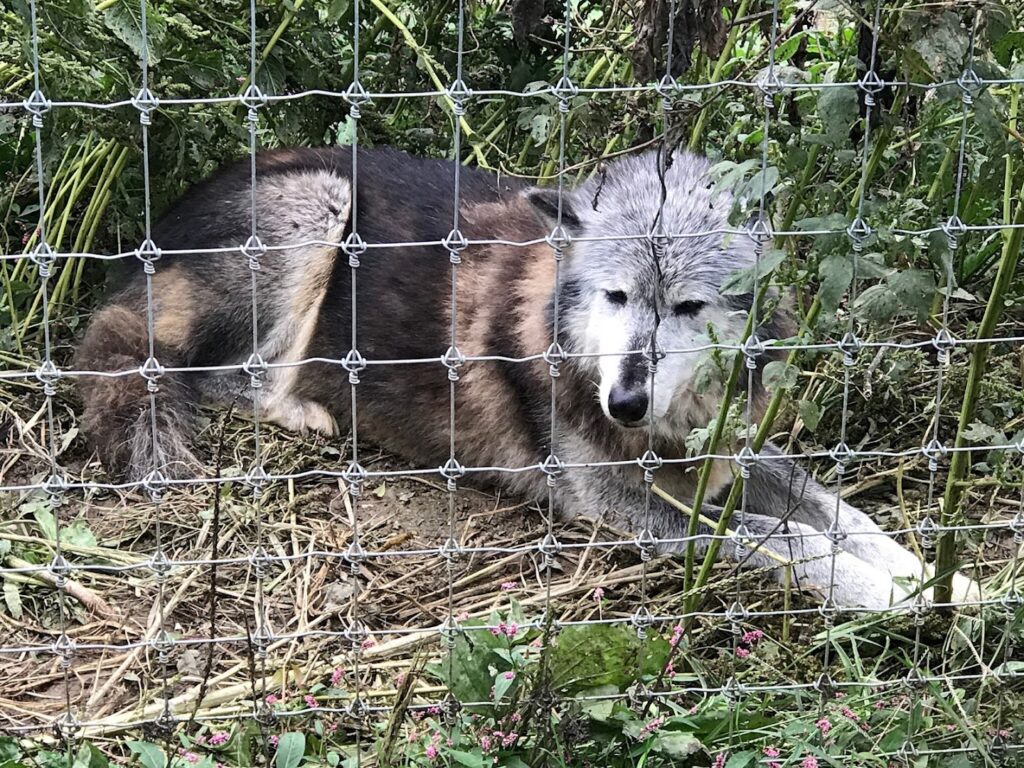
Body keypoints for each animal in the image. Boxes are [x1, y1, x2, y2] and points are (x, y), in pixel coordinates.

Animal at [74, 145, 974, 606]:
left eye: (689, 307)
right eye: (615, 296)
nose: (625, 401)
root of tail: (155, 227)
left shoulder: (731, 456)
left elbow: (844, 516)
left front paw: (939, 579)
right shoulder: (623, 511)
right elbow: (789, 540)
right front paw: (905, 598)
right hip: (320, 209)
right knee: (234, 379)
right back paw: (313, 413)